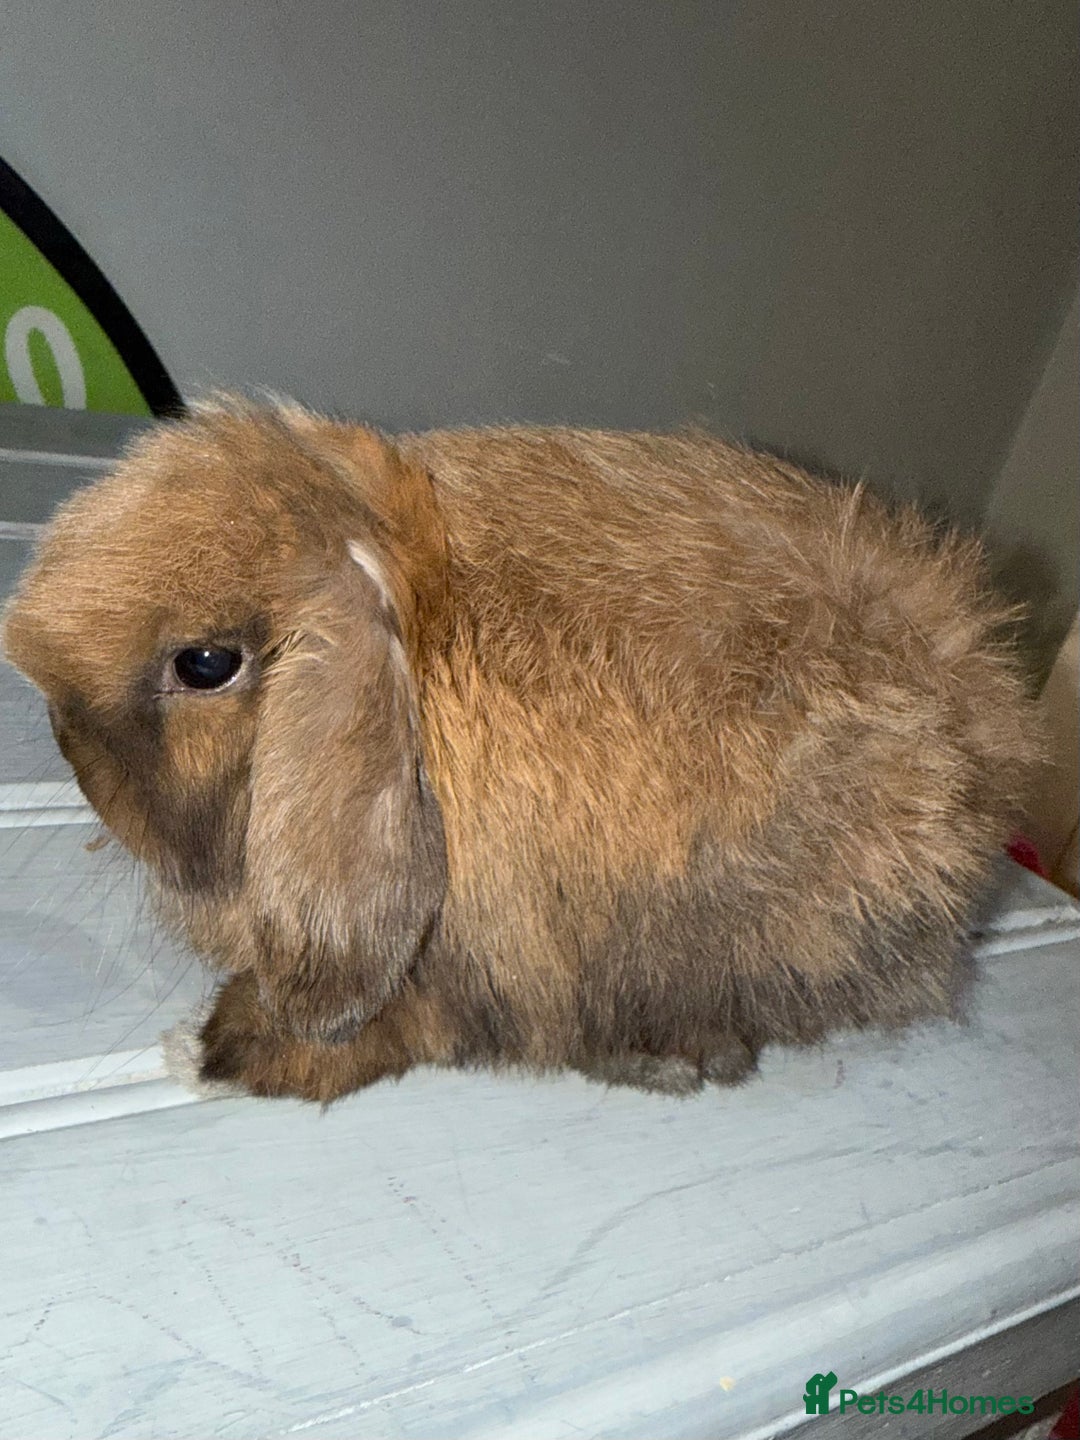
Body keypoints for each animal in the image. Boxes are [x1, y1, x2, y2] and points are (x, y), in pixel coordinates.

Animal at [2, 397, 1036, 1103]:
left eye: (207, 663)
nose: (77, 767)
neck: (420, 646)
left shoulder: (475, 961)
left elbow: (394, 1031)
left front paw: (219, 1050)